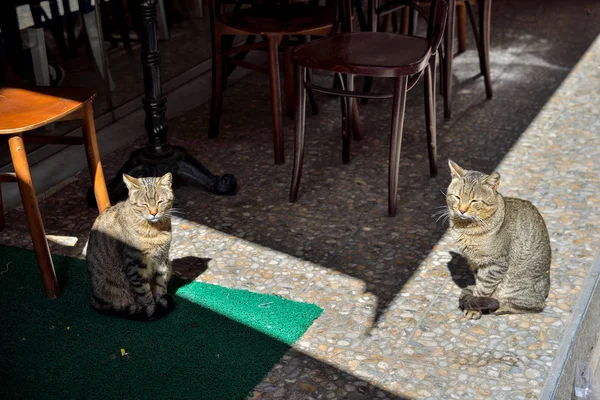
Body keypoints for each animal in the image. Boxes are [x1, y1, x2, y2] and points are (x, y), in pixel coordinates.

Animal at [86, 173, 176, 320]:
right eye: (143, 204)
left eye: (160, 202)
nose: (154, 213)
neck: (155, 230)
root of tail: (93, 298)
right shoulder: (135, 266)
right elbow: (145, 294)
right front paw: (153, 310)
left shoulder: (162, 259)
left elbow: (160, 285)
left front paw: (161, 300)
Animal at [448, 159, 552, 318]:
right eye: (457, 197)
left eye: (474, 201)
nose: (462, 210)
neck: (465, 228)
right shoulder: (475, 263)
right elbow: (478, 284)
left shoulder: (495, 263)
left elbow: (482, 288)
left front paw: (474, 308)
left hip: (516, 287)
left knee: (534, 306)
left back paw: (498, 308)